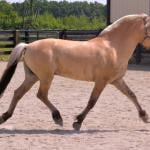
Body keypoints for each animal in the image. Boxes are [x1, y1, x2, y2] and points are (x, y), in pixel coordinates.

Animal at [0, 14, 150, 131]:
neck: (113, 47)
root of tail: (28, 45)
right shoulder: (101, 81)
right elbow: (92, 102)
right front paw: (78, 122)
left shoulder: (116, 80)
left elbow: (132, 95)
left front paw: (144, 117)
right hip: (45, 77)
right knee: (41, 94)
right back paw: (58, 118)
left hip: (33, 77)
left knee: (18, 93)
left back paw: (5, 116)